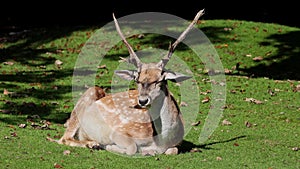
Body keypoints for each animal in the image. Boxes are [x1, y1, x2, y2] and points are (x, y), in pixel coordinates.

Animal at [50, 9, 205, 156]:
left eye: (159, 80)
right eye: (137, 79)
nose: (142, 100)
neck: (161, 141)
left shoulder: (176, 144)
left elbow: (173, 150)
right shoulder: (120, 131)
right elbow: (131, 148)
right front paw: (110, 147)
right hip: (88, 96)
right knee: (64, 138)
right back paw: (92, 143)